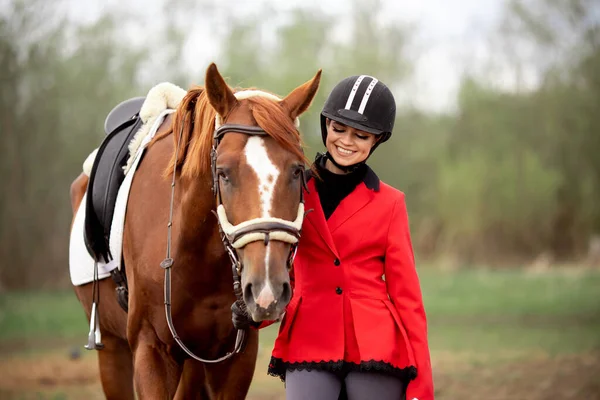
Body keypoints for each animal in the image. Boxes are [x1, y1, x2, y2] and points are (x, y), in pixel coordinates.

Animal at [69, 64, 322, 398]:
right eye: (223, 173)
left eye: (296, 171)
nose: (267, 288)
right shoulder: (151, 352)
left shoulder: (236, 358)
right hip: (111, 349)